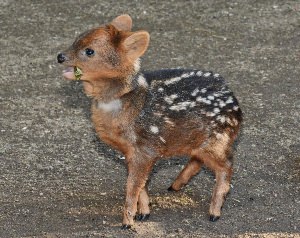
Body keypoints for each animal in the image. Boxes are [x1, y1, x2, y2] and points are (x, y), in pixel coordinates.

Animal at [57, 14, 243, 229]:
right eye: (76, 39)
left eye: (89, 51)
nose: (60, 56)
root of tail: (235, 103)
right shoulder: (131, 152)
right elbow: (141, 184)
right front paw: (144, 212)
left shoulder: (145, 148)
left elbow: (132, 186)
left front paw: (127, 222)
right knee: (199, 159)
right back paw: (175, 185)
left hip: (218, 139)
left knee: (226, 166)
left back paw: (214, 212)